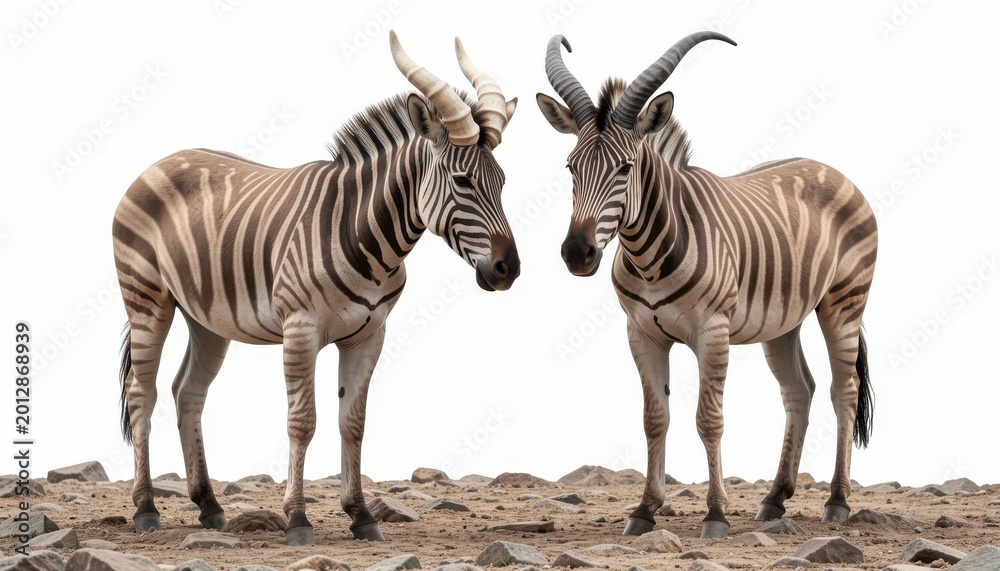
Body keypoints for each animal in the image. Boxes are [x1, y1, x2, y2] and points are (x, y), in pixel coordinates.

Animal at [113, 31, 519, 545]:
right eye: (462, 181)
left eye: (502, 182)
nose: (509, 268)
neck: (364, 233)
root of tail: (157, 161)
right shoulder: (300, 330)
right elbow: (302, 422)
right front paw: (298, 519)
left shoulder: (369, 334)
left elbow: (354, 423)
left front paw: (361, 514)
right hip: (147, 299)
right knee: (141, 393)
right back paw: (146, 508)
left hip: (207, 317)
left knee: (187, 392)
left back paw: (208, 504)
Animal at [536, 32, 878, 539]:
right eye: (570, 167)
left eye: (626, 168)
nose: (577, 253)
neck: (648, 257)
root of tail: (831, 168)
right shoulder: (641, 333)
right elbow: (654, 418)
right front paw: (644, 510)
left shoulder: (712, 331)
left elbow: (708, 419)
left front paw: (715, 514)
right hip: (783, 321)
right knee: (800, 390)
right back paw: (775, 498)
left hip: (844, 303)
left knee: (844, 391)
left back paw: (837, 501)